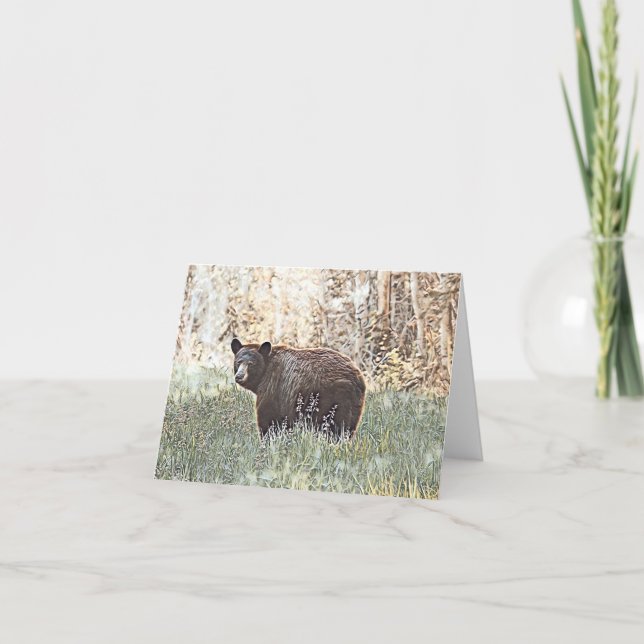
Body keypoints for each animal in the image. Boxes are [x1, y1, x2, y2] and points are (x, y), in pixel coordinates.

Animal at [231, 338, 366, 439]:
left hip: (330, 399)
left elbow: (268, 418)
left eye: (251, 364)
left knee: (333, 427)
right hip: (354, 406)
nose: (239, 376)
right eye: (238, 362)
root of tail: (357, 377)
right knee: (347, 428)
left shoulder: (273, 387)